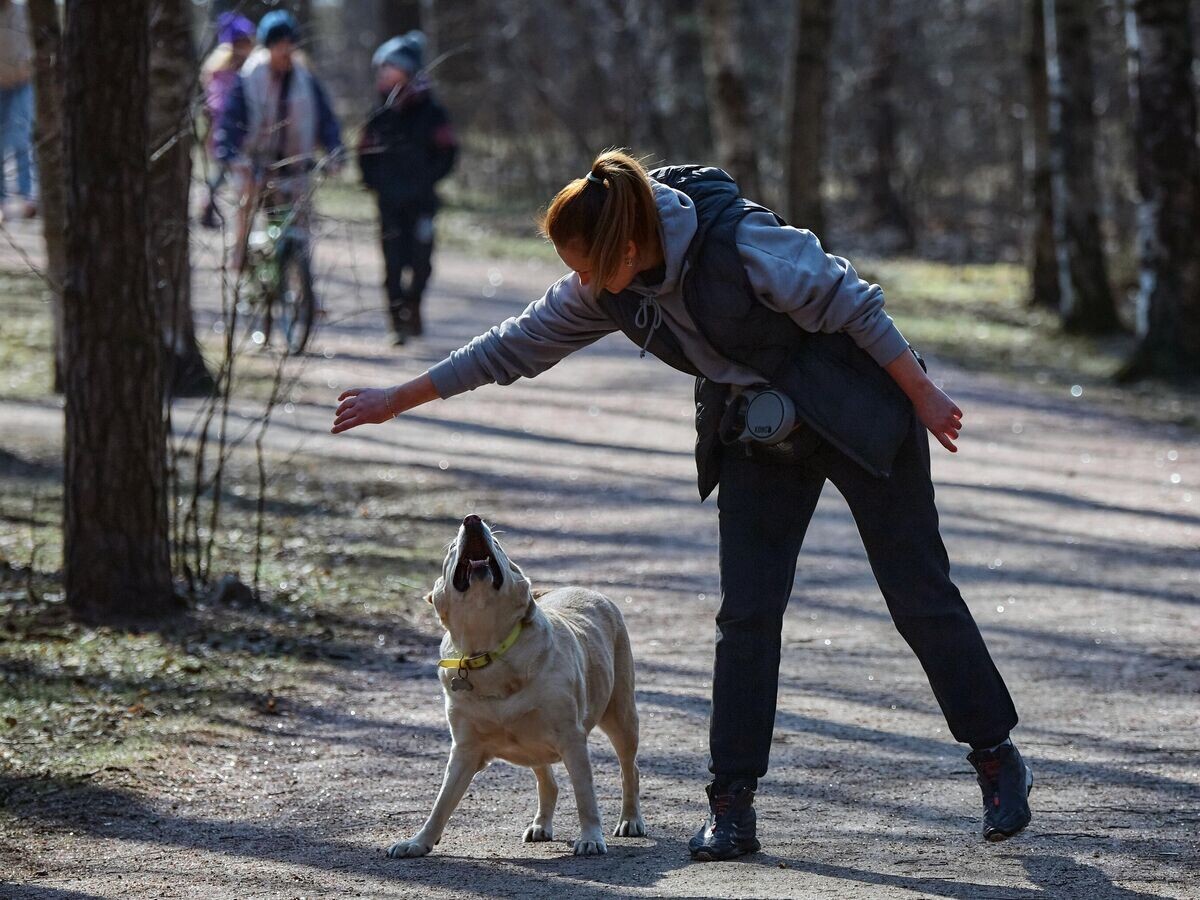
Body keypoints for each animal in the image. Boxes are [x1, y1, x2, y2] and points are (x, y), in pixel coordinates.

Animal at [386, 518, 648, 854]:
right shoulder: (465, 748)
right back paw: (541, 825)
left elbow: (585, 795)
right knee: (549, 782)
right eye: (452, 549)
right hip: (532, 745)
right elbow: (442, 803)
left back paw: (630, 819)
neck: (490, 651)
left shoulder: (572, 738)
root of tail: (587, 590)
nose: (472, 519)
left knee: (630, 769)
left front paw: (591, 837)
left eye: (498, 545)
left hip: (621, 714)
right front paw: (419, 842)